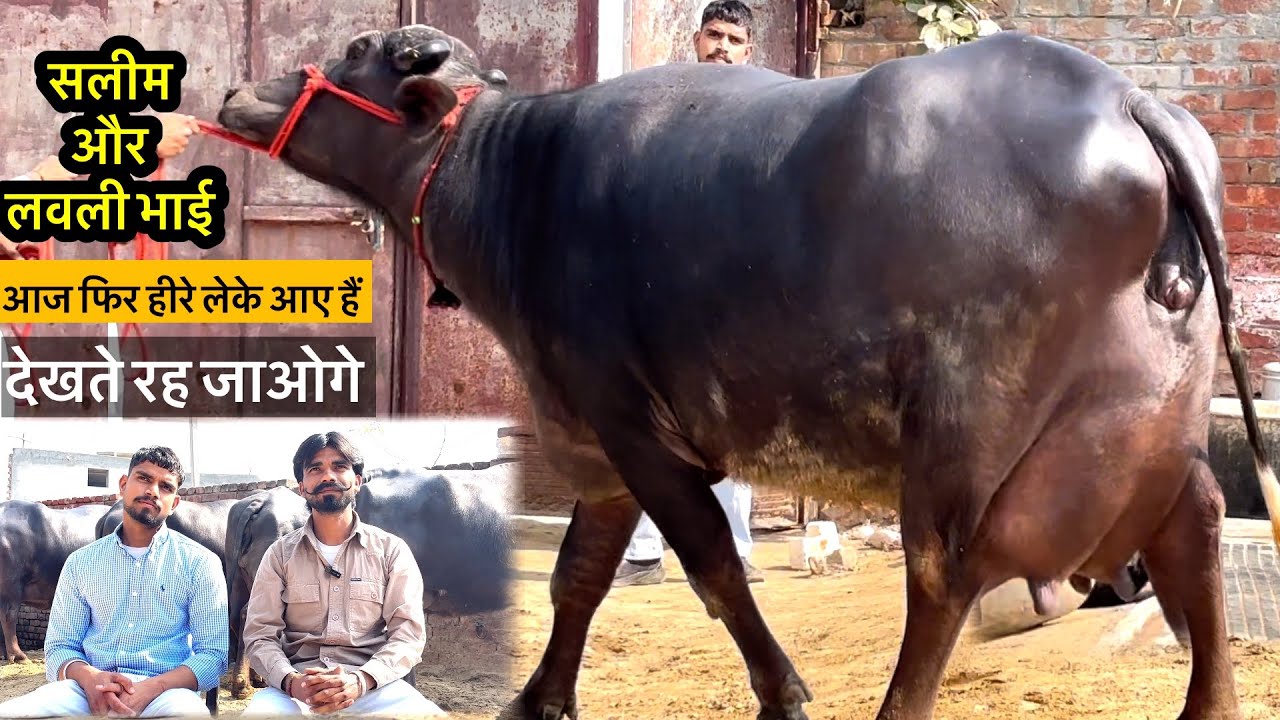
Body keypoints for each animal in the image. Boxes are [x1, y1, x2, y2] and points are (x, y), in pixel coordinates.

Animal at [213, 25, 1280, 720]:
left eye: (356, 50)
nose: (233, 95)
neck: (514, 181)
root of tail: (1131, 102)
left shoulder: (636, 427)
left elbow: (716, 568)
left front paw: (784, 693)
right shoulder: (599, 440)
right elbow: (576, 578)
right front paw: (537, 700)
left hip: (965, 432)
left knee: (944, 572)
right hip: (1155, 419)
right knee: (1195, 531)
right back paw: (1211, 707)